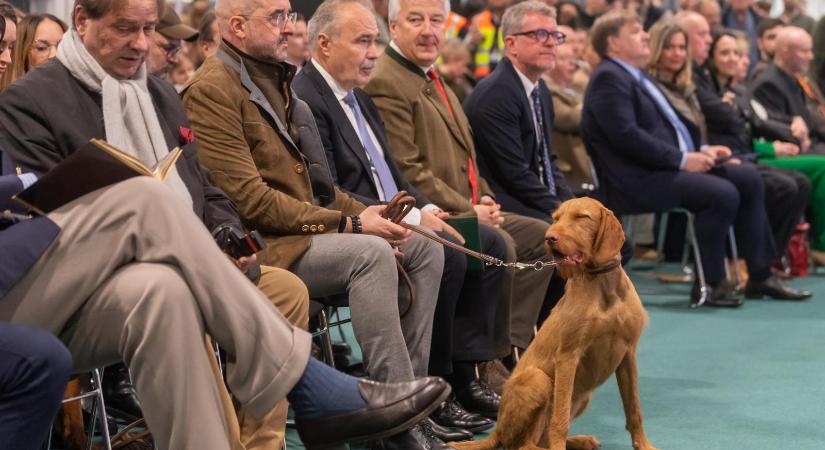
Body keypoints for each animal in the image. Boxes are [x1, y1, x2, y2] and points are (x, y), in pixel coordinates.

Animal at [450, 199, 656, 448]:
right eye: (556, 218)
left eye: (581, 217)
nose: (549, 238)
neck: (603, 285)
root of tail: (496, 430)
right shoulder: (568, 356)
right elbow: (560, 417)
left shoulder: (628, 354)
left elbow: (634, 409)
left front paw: (644, 444)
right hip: (538, 380)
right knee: (523, 444)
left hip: (583, 397)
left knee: (541, 440)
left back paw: (582, 441)